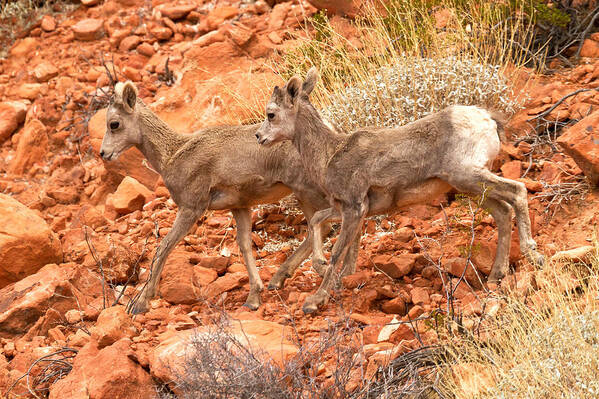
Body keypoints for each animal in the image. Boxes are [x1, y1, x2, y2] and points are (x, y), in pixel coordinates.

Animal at [100, 80, 358, 312]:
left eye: (114, 124)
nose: (104, 153)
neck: (173, 154)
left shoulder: (191, 207)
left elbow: (164, 246)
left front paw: (139, 304)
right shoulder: (240, 207)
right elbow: (244, 246)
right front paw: (253, 298)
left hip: (306, 191)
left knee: (333, 224)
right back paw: (284, 278)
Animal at [255, 68, 548, 316]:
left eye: (271, 114)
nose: (259, 137)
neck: (329, 154)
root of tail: (487, 119)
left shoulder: (353, 209)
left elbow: (338, 251)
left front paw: (315, 301)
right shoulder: (347, 210)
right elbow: (320, 226)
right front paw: (322, 267)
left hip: (469, 176)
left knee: (518, 191)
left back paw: (534, 255)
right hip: (471, 186)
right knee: (503, 212)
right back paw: (496, 274)